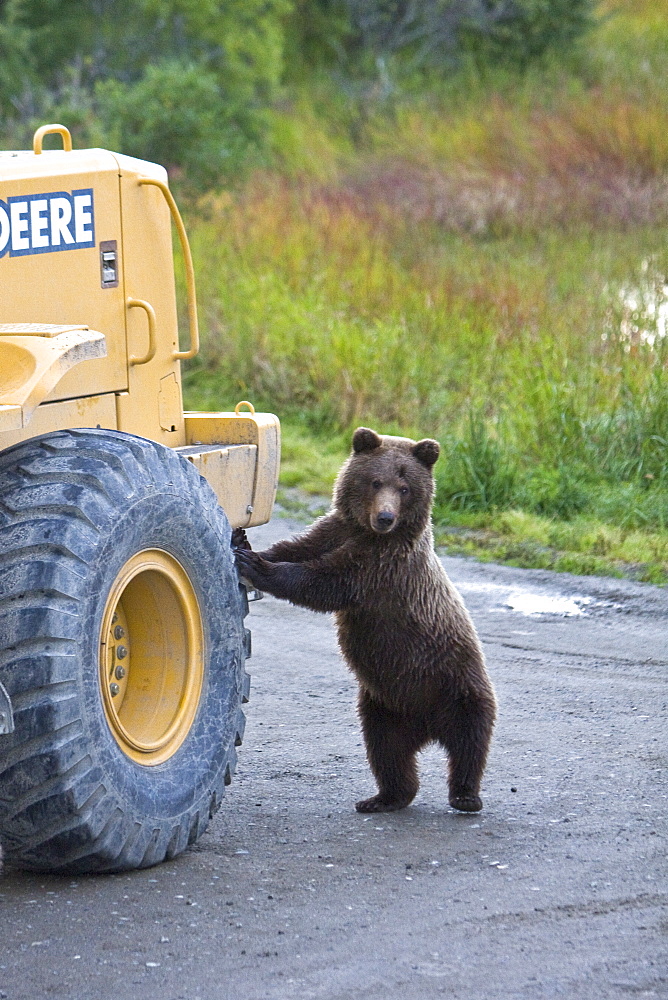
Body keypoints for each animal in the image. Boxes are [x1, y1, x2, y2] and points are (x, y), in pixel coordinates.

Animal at [235, 428, 496, 812]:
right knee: (387, 751)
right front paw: (247, 546)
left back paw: (466, 796)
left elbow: (326, 582)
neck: (368, 533)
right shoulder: (334, 531)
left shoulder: (381, 567)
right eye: (376, 481)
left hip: (455, 682)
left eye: (404, 488)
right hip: (383, 705)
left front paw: (258, 566)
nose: (385, 517)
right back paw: (384, 798)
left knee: (470, 739)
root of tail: (427, 728)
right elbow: (297, 547)